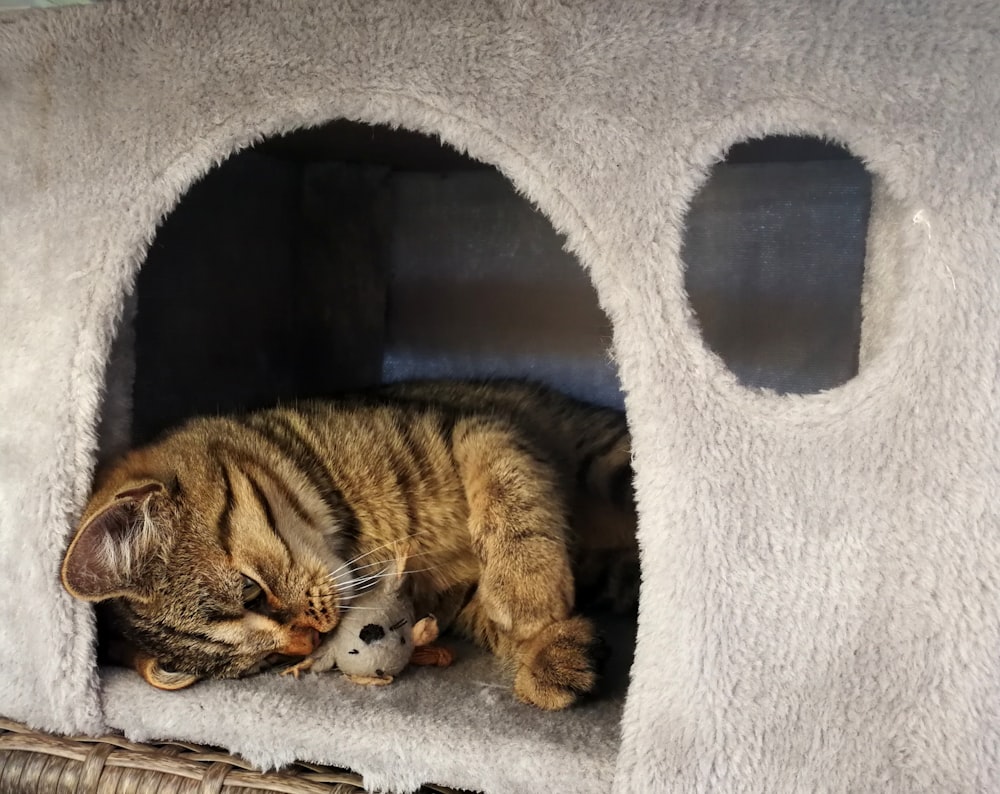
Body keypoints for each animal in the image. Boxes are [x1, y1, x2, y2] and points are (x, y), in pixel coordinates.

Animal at [60, 380, 632, 708]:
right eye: (261, 665)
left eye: (251, 591)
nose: (308, 640)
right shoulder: (453, 597)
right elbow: (491, 618)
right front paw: (550, 652)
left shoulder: (477, 426)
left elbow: (507, 485)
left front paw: (527, 591)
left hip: (607, 456)